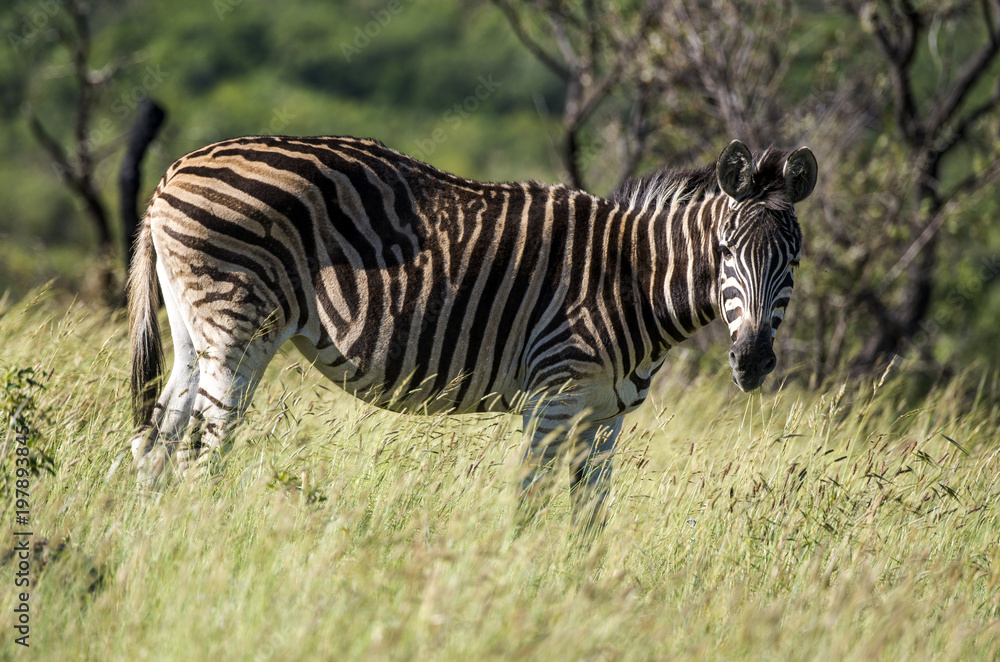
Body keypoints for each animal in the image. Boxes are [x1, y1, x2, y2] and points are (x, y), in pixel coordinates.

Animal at [128, 135, 817, 526]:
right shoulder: (554, 396)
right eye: (725, 252)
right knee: (202, 449)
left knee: (159, 439)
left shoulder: (605, 415)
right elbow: (530, 504)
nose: (753, 362)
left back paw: (155, 540)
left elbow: (589, 517)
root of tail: (174, 170)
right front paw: (521, 585)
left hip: (199, 333)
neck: (631, 279)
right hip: (235, 325)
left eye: (793, 260)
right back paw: (205, 536)